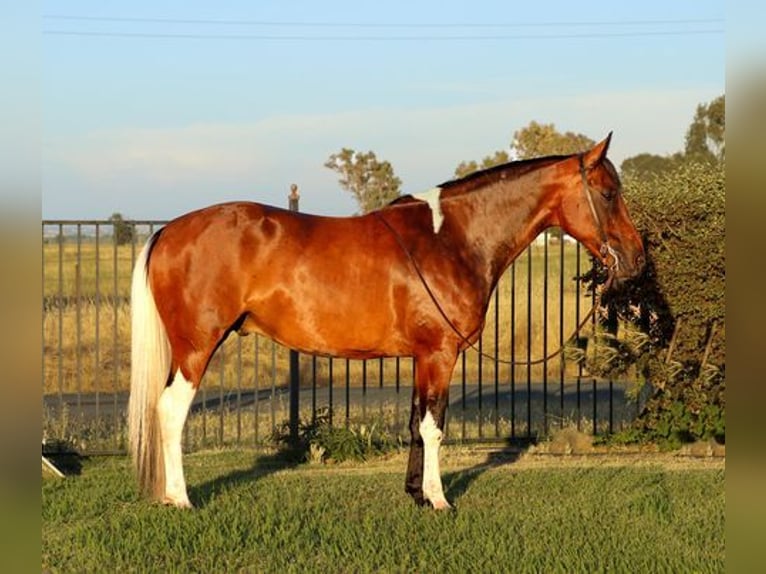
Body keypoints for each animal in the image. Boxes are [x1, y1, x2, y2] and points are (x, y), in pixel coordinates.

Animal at [130, 134, 648, 508]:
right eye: (608, 193)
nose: (636, 257)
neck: (451, 238)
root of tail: (168, 231)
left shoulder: (423, 356)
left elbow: (418, 421)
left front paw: (416, 495)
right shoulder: (440, 353)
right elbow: (434, 426)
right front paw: (439, 501)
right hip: (197, 347)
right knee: (171, 411)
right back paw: (181, 499)